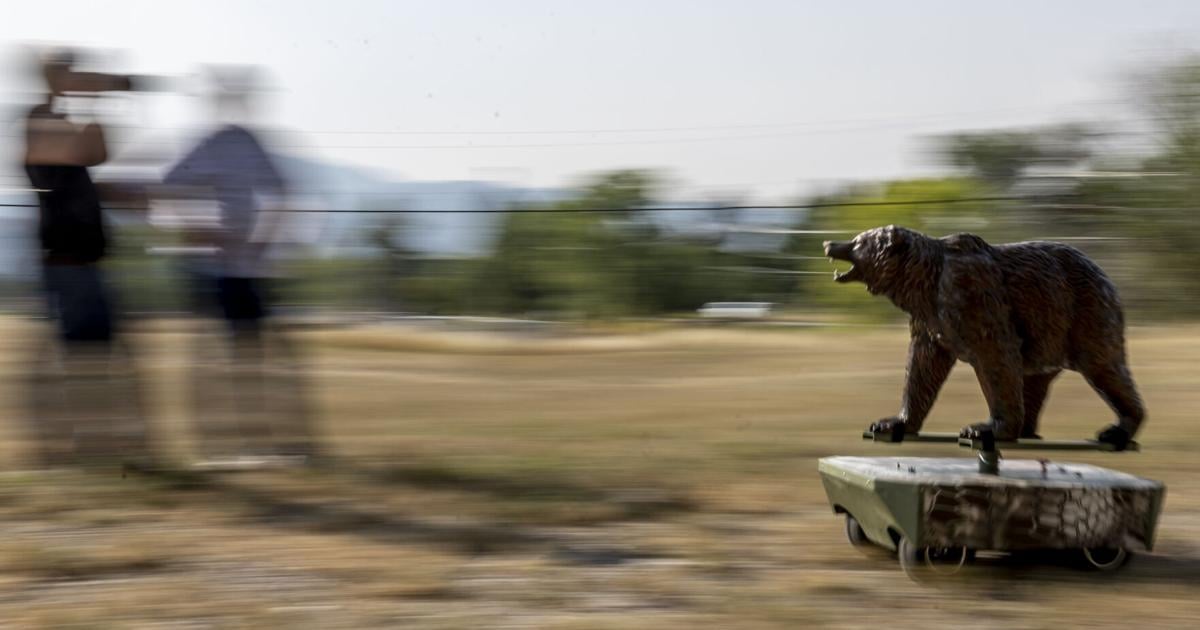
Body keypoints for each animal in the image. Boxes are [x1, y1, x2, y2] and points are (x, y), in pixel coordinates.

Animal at [822, 225, 1144, 450]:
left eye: (858, 242)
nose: (828, 243)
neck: (921, 282)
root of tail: (1106, 277)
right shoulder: (930, 318)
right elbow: (922, 366)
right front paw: (889, 424)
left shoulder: (972, 296)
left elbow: (995, 356)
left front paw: (983, 428)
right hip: (1048, 331)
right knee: (1035, 378)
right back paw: (1028, 428)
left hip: (1084, 312)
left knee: (1104, 366)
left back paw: (1116, 430)